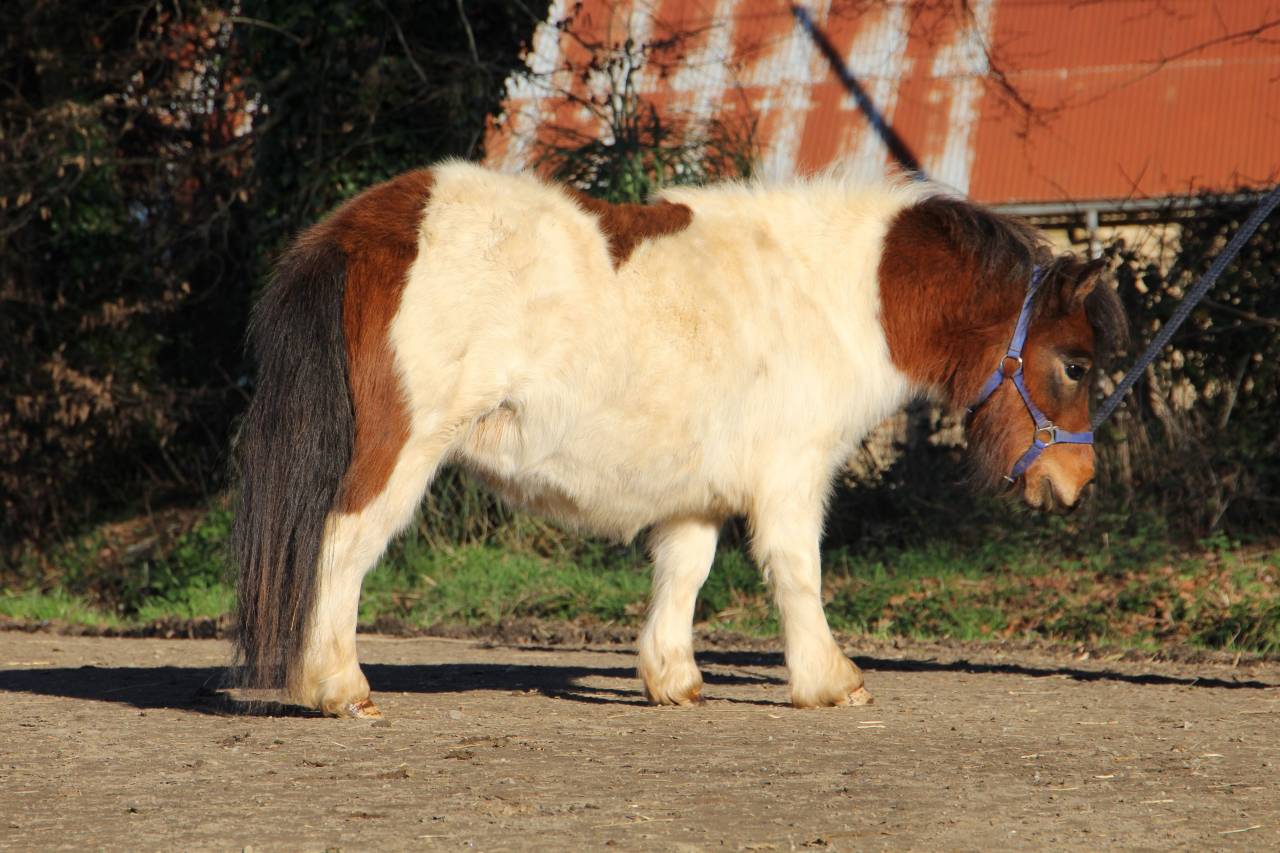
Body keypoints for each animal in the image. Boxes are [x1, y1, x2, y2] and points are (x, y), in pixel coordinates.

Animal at [231, 161, 1126, 717]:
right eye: (1076, 364)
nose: (1077, 480)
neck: (834, 293)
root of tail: (359, 230)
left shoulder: (695, 492)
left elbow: (683, 573)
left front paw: (673, 678)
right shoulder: (794, 475)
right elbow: (798, 573)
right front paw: (829, 680)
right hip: (399, 455)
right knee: (342, 546)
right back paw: (338, 684)